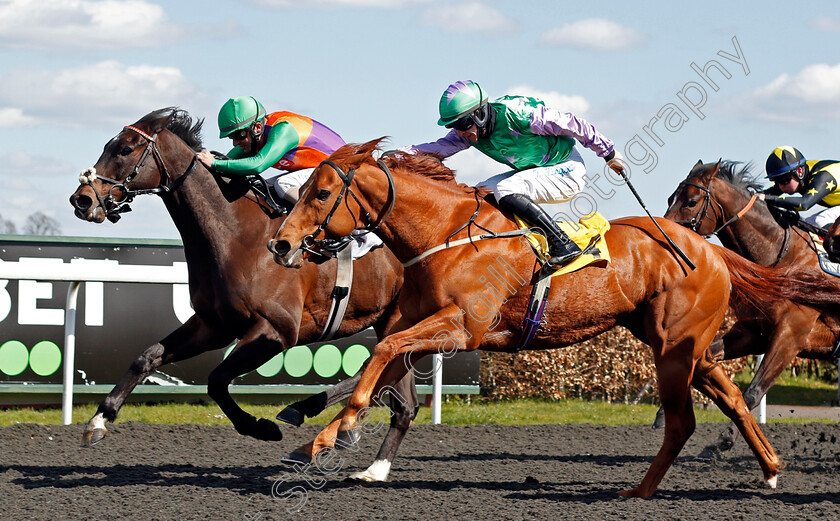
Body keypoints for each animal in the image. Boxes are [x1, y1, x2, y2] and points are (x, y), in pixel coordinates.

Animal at [69, 107, 416, 470]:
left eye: (124, 149)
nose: (81, 199)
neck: (236, 235)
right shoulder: (214, 325)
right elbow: (146, 357)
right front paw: (99, 420)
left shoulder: (276, 331)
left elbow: (216, 380)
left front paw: (260, 427)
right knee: (402, 397)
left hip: (396, 318)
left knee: (384, 374)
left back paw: (316, 420)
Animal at [664, 160, 840, 458]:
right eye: (670, 198)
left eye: (691, 201)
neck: (781, 260)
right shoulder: (751, 334)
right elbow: (706, 359)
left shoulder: (790, 337)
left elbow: (753, 392)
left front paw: (723, 441)